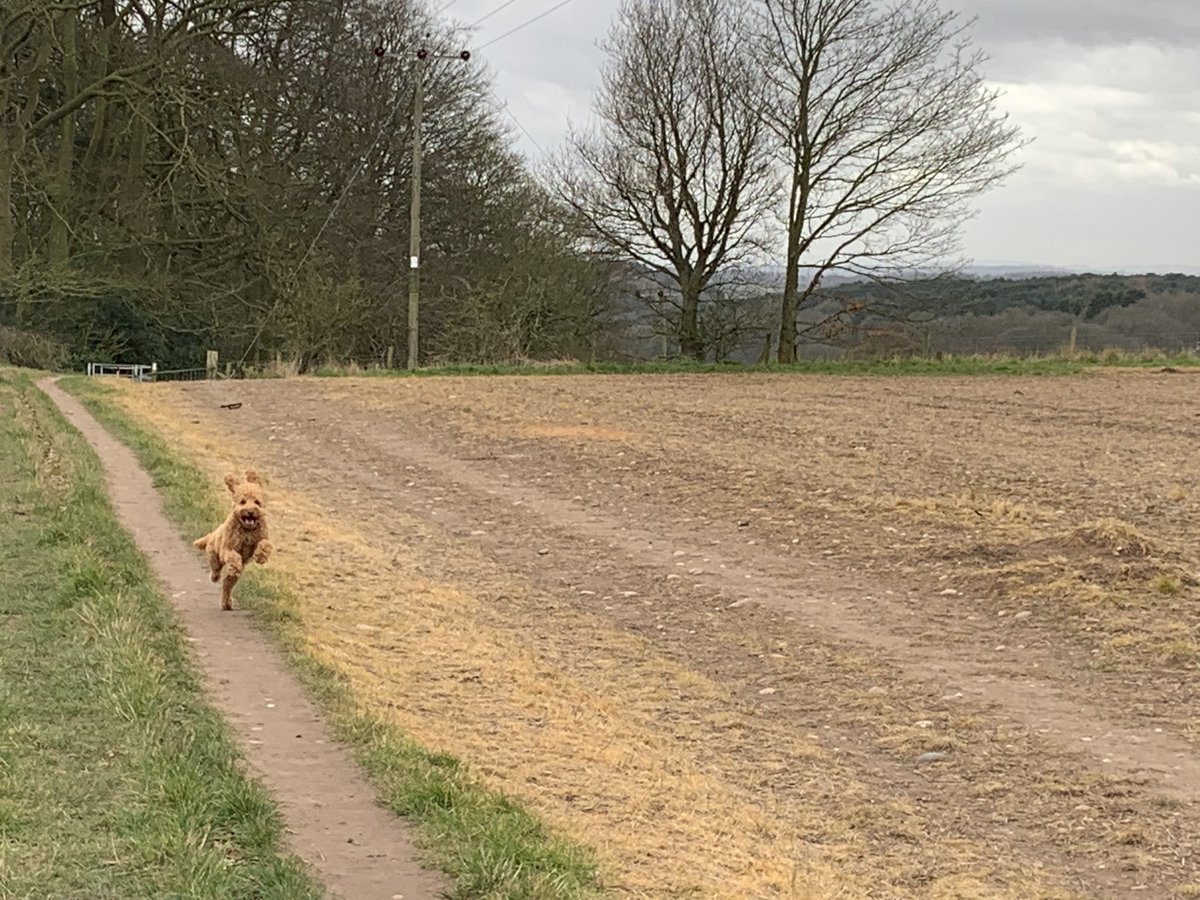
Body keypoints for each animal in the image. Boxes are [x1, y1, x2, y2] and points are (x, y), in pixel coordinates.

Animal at [194, 468, 274, 609]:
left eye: (257, 502)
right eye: (242, 502)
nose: (250, 512)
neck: (247, 530)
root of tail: (212, 534)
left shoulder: (263, 536)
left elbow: (265, 544)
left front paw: (261, 556)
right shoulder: (227, 548)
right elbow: (234, 556)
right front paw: (236, 563)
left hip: (233, 577)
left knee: (227, 584)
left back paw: (227, 603)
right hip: (214, 557)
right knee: (216, 570)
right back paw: (215, 577)